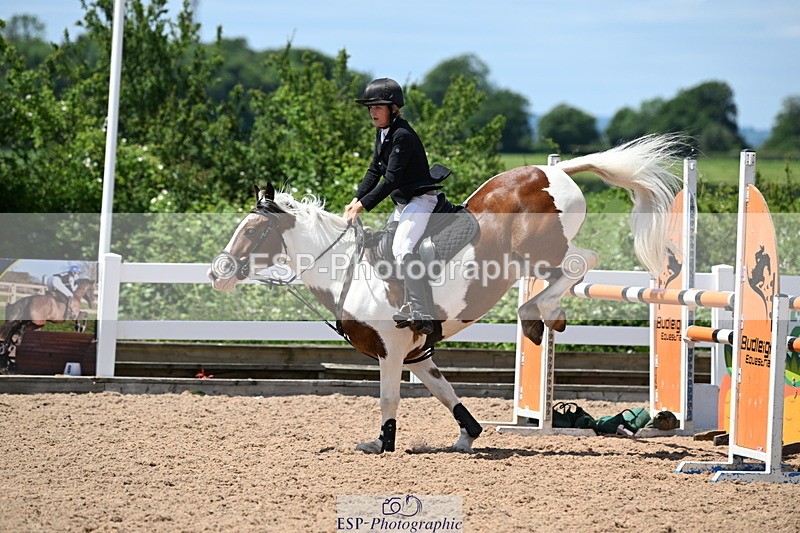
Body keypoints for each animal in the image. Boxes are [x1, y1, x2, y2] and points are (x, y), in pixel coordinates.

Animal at [208, 135, 681, 453]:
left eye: (252, 230)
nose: (218, 273)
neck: (349, 270)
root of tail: (552, 172)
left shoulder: (391, 349)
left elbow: (389, 397)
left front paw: (384, 444)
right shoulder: (418, 353)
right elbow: (445, 392)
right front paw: (467, 436)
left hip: (543, 251)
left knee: (582, 261)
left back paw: (541, 311)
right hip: (532, 259)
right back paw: (542, 316)